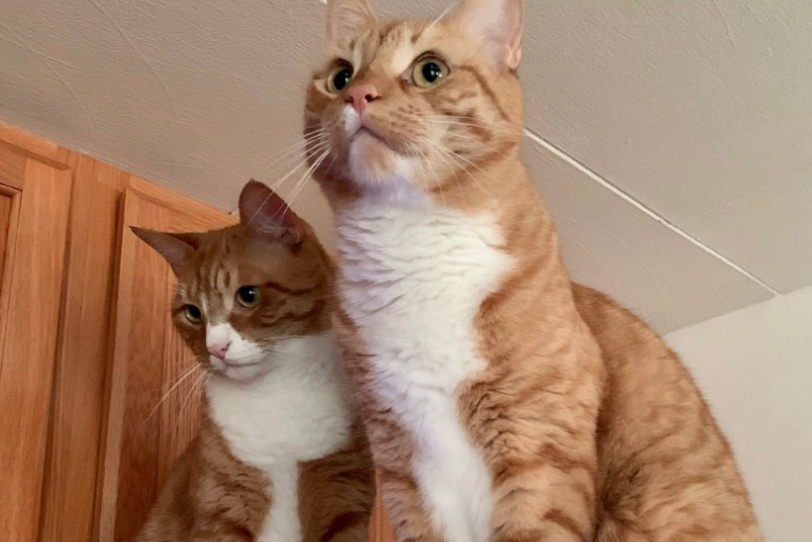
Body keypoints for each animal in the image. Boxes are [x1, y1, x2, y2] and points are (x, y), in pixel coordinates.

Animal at [133, 182, 374, 542]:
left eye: (248, 295)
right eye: (193, 313)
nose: (216, 348)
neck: (276, 389)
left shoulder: (345, 501)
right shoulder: (222, 511)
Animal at [302, 1, 760, 542]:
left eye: (429, 71)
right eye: (340, 76)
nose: (358, 94)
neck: (411, 248)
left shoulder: (539, 445)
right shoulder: (402, 469)